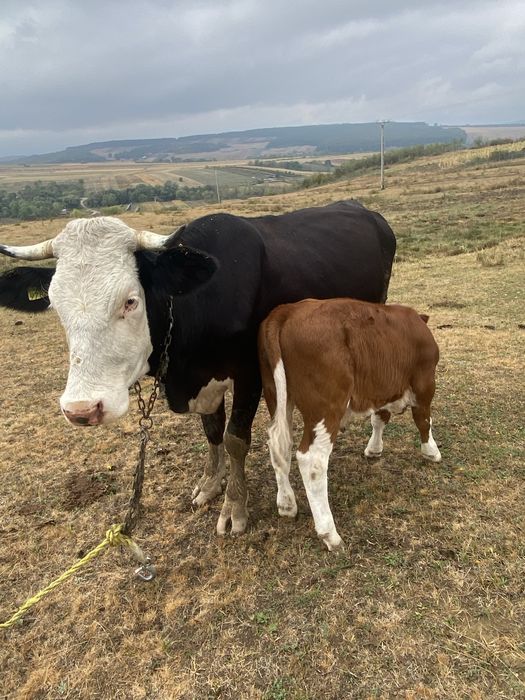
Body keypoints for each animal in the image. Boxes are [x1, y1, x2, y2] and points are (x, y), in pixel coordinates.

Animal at [0, 201, 396, 536]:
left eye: (130, 301)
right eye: (54, 304)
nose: (82, 409)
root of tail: (365, 210)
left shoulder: (249, 372)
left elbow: (235, 439)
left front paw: (234, 506)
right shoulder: (205, 381)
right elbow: (212, 432)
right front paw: (209, 484)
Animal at [258, 298, 441, 551]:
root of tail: (289, 309)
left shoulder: (380, 388)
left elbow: (379, 418)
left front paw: (374, 449)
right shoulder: (425, 382)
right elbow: (423, 419)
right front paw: (431, 451)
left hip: (276, 395)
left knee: (278, 445)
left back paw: (286, 504)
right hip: (325, 408)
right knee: (312, 460)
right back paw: (329, 533)